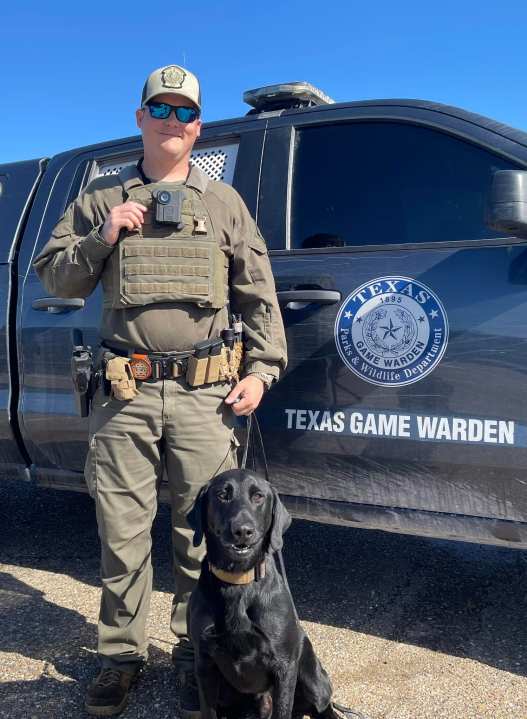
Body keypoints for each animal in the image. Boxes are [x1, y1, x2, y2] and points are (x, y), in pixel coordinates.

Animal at [187, 466, 342, 719]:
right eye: (222, 495)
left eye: (258, 496)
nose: (242, 530)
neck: (239, 581)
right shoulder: (204, 662)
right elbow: (208, 710)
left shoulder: (284, 667)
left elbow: (283, 709)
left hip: (312, 678)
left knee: (323, 706)